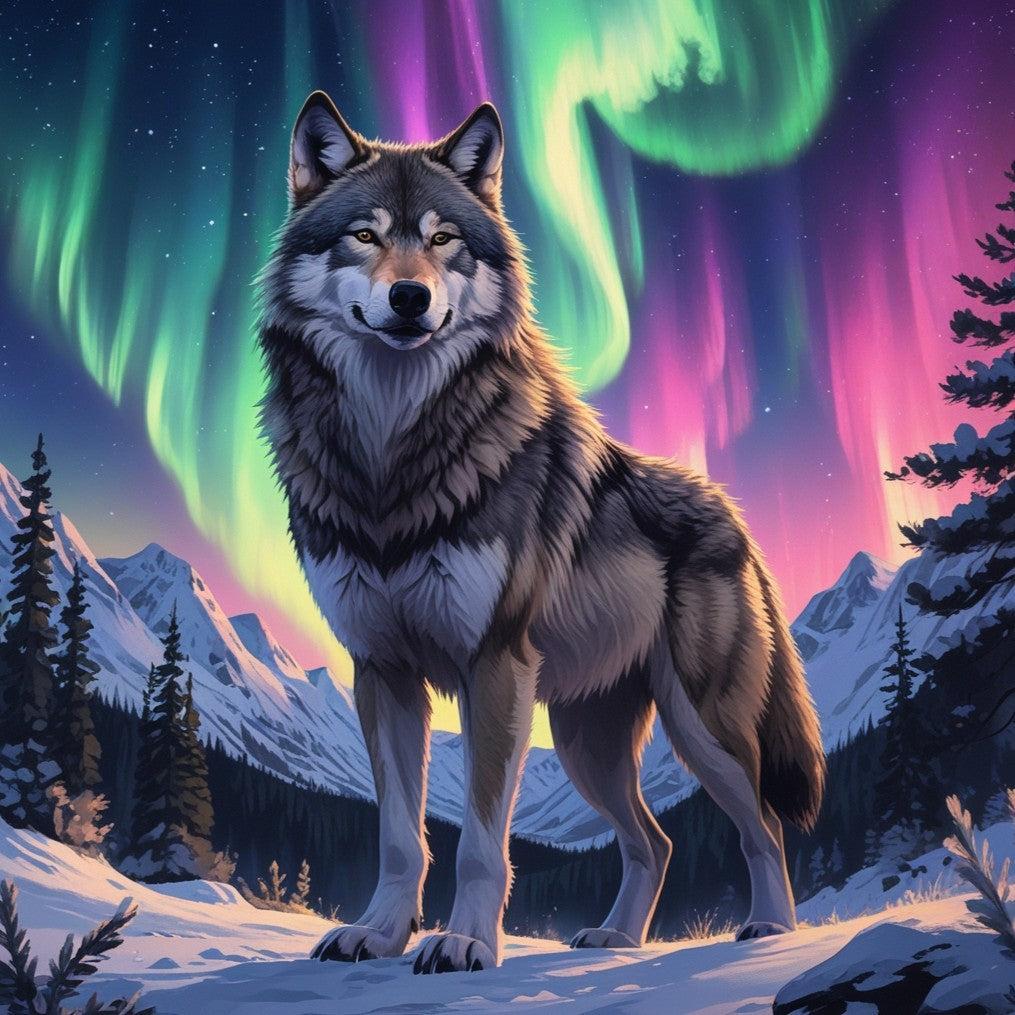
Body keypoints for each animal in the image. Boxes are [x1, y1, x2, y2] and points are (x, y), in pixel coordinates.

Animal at [257, 91, 825, 974]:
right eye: (366, 234)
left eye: (442, 240)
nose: (410, 298)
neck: (389, 453)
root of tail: (729, 507)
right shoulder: (380, 671)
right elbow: (399, 837)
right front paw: (377, 933)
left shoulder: (494, 665)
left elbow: (480, 842)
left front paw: (464, 943)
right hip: (587, 742)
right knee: (655, 841)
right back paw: (616, 938)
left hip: (701, 727)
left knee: (761, 824)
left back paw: (769, 929)